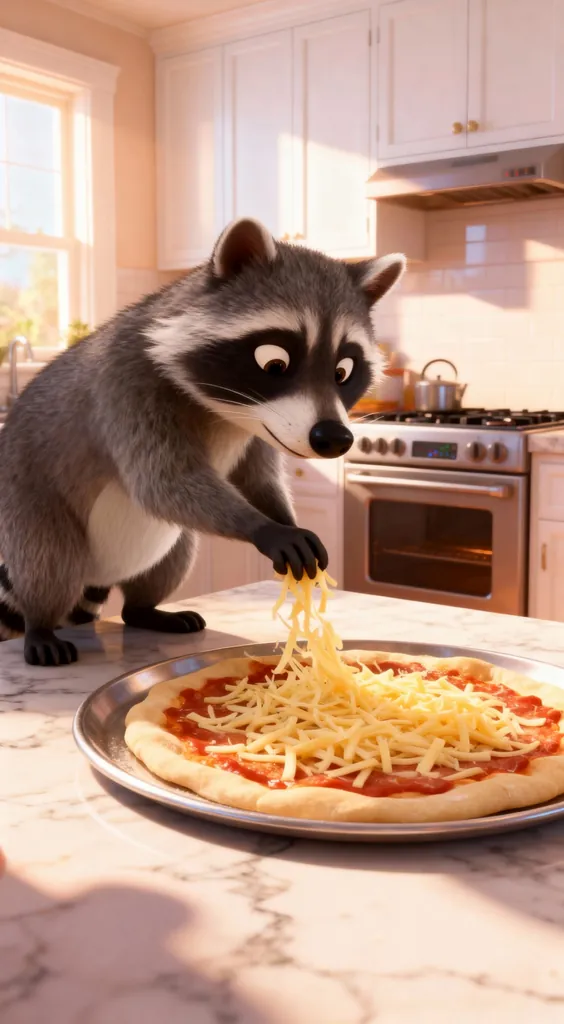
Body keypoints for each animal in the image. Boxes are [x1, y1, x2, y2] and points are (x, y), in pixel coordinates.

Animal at [0, 218, 405, 666]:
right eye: (274, 363)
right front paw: (265, 528)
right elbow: (162, 484)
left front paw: (284, 517)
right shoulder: (126, 385)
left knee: (173, 555)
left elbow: (256, 480)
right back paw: (40, 623)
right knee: (49, 562)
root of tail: (102, 575)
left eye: (343, 372)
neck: (229, 409)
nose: (334, 439)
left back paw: (144, 609)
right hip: (28, 502)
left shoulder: (265, 426)